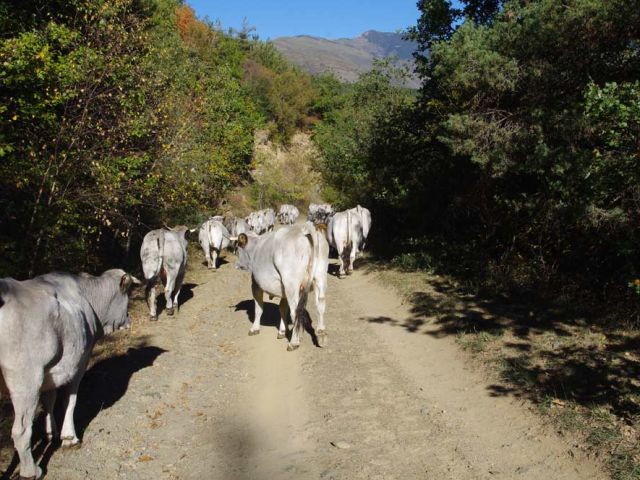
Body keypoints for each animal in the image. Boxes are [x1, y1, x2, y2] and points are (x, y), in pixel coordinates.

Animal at [0, 268, 139, 478]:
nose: (129, 319)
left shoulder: (52, 370)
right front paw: (69, 437)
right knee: (21, 430)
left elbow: (49, 400)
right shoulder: (80, 361)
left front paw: (51, 432)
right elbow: (70, 400)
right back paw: (31, 471)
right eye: (128, 294)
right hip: (25, 379)